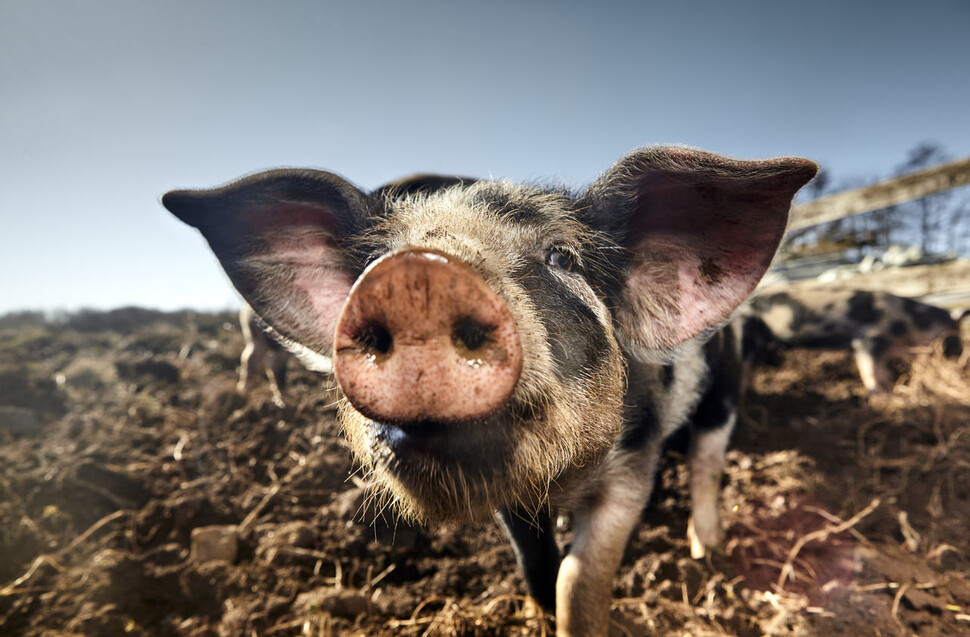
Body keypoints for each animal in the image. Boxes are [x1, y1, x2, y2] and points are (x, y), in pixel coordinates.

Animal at [163, 147, 812, 632]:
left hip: (723, 392)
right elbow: (536, 568)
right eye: (377, 258)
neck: (563, 482)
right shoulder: (512, 499)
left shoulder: (634, 463)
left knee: (707, 460)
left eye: (563, 256)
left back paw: (708, 551)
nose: (417, 275)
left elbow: (579, 580)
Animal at [740, 286, 960, 392]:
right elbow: (870, 370)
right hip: (753, 338)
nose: (958, 357)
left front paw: (890, 388)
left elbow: (884, 371)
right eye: (953, 337)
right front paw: (882, 396)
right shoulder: (868, 339)